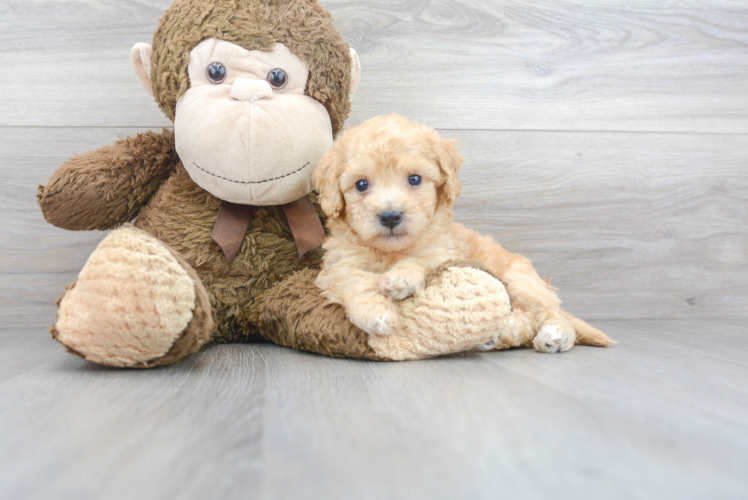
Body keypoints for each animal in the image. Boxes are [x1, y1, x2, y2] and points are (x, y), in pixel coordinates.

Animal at [312, 115, 612, 354]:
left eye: (414, 179)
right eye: (361, 185)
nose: (390, 216)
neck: (392, 252)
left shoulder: (442, 251)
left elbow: (420, 259)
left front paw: (400, 279)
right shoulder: (339, 264)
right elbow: (355, 282)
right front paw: (377, 314)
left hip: (520, 281)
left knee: (549, 312)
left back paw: (555, 335)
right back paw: (499, 334)